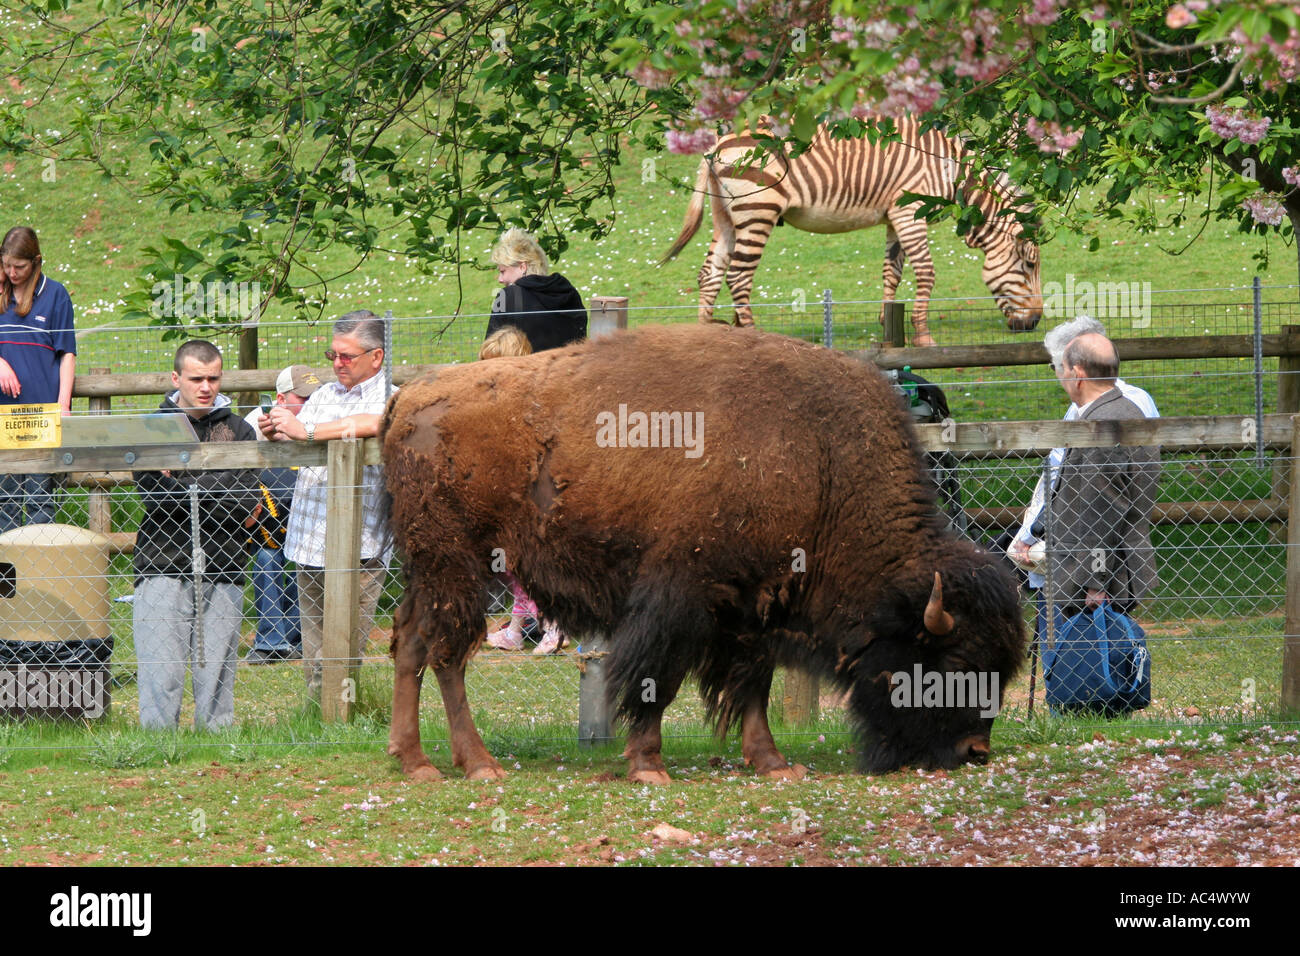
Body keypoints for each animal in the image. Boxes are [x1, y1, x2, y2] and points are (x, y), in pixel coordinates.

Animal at [379, 325, 1024, 780]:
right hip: (457, 564)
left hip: (430, 569)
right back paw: (478, 764)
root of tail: (410, 397)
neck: (822, 460)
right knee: (448, 653)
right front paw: (648, 767)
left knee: (410, 642)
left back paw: (415, 762)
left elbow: (752, 682)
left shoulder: (756, 602)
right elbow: (658, 679)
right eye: (955, 663)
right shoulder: (681, 594)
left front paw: (774, 764)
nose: (974, 751)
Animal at [665, 121, 1040, 348]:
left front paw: (887, 324)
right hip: (758, 210)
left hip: (725, 216)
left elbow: (892, 272)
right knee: (739, 277)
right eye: (1030, 266)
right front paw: (924, 338)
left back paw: (705, 338)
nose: (1035, 322)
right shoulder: (910, 211)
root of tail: (717, 145)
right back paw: (756, 336)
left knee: (709, 274)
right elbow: (926, 273)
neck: (949, 169)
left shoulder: (894, 216)